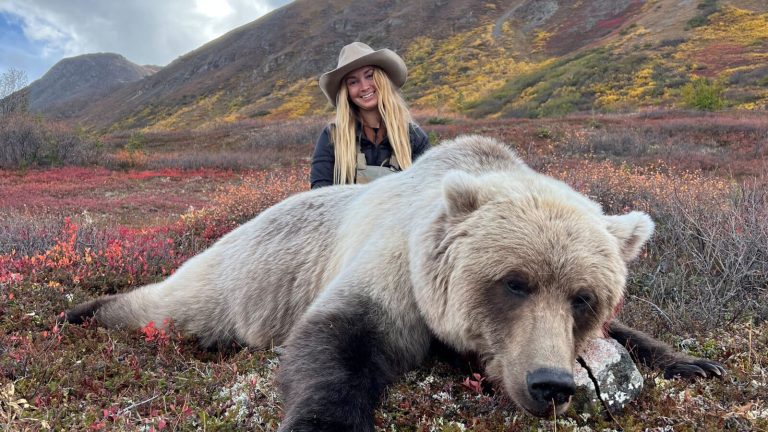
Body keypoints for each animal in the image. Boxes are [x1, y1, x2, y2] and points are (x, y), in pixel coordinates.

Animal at [66, 135, 724, 431]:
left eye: (583, 297)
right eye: (514, 283)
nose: (551, 383)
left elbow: (632, 333)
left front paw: (692, 362)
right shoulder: (393, 275)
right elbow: (336, 343)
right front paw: (323, 421)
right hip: (239, 277)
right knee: (171, 304)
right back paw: (82, 310)